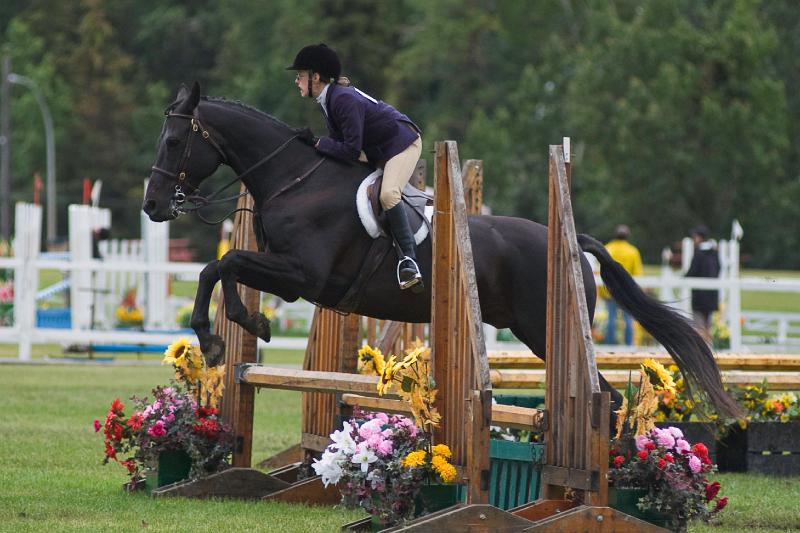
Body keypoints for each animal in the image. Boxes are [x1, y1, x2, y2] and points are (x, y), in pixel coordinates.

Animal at [141, 82, 740, 420]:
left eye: (173, 141)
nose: (152, 205)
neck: (296, 180)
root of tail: (573, 241)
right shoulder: (289, 278)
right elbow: (223, 267)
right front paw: (244, 328)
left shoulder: (304, 276)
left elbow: (220, 264)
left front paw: (218, 337)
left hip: (543, 329)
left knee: (605, 397)